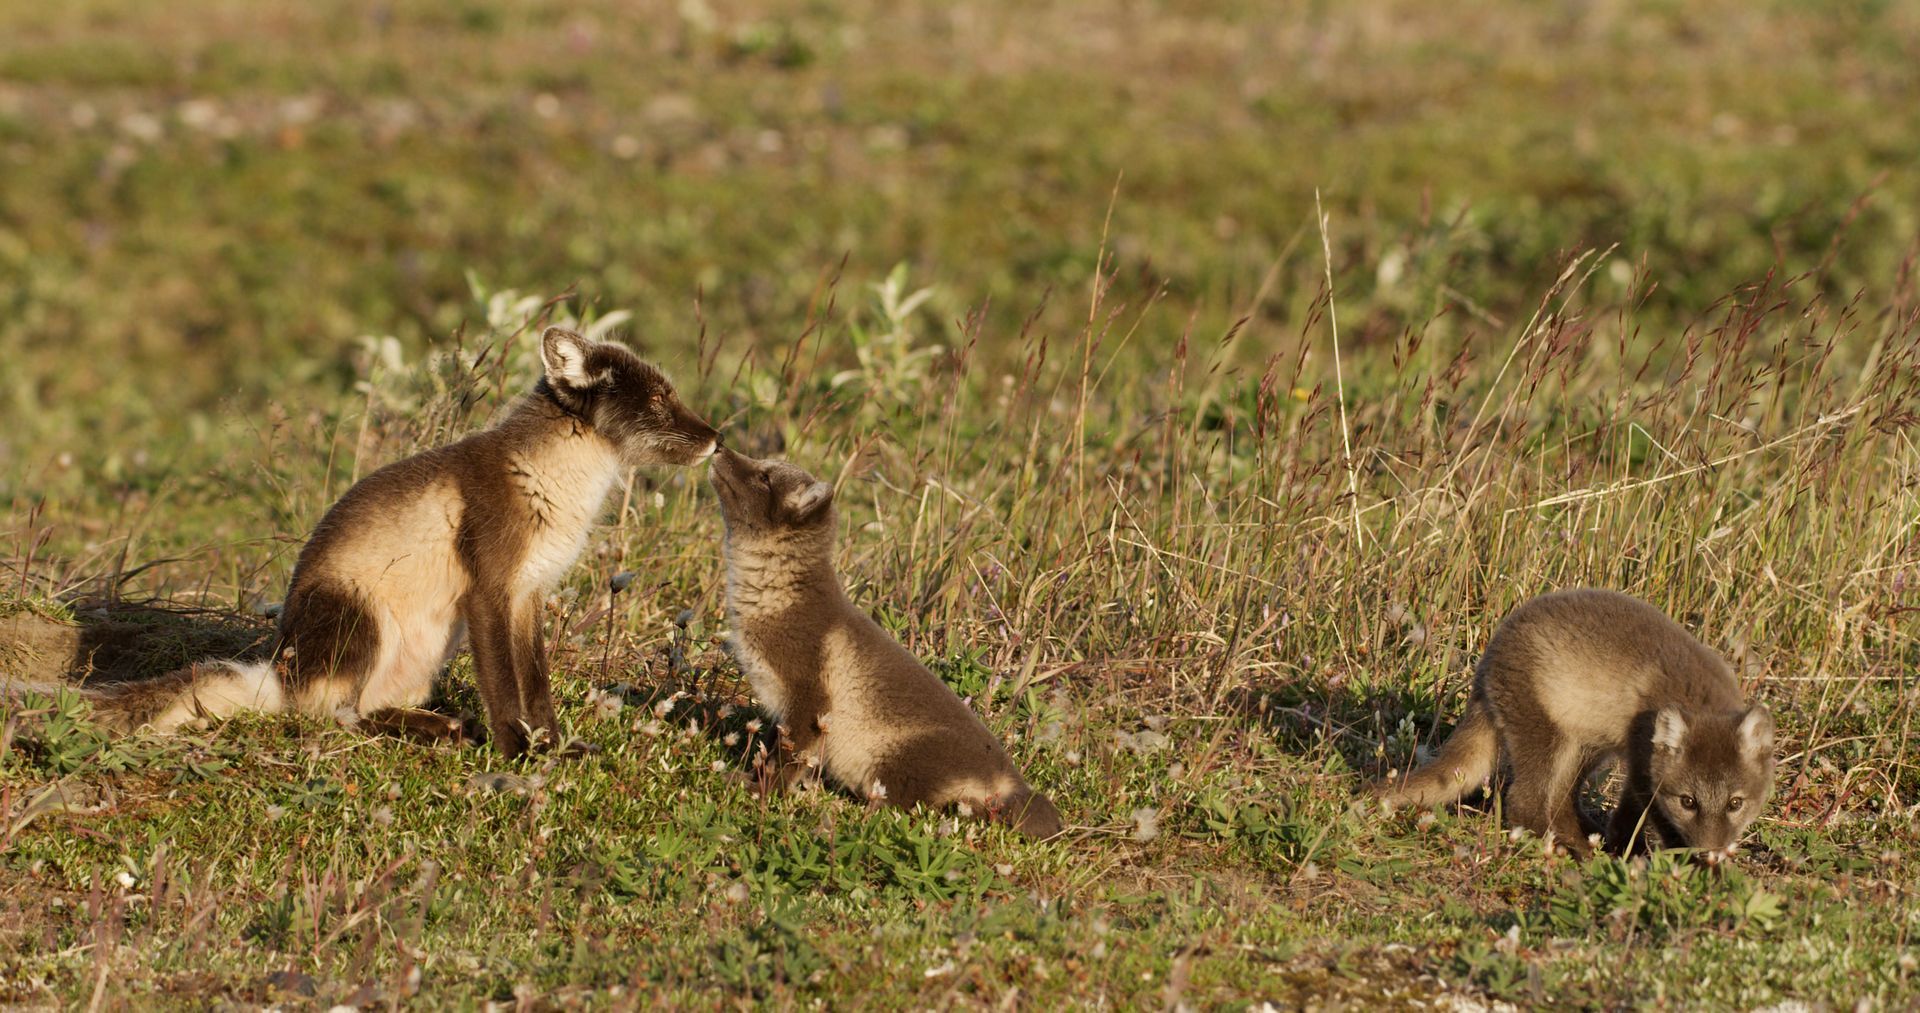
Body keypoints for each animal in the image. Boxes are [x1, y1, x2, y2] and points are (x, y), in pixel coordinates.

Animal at [8, 327, 718, 758]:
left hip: (429, 646)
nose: (715, 438)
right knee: (330, 714)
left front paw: (555, 746)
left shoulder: (528, 595)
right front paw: (518, 755)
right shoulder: (490, 590)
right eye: (659, 399)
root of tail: (281, 669)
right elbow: (504, 689)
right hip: (364, 622)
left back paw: (440, 725)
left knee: (365, 705)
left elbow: (537, 686)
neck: (553, 482)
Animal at [708, 447, 1063, 838]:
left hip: (900, 762)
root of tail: (1014, 785)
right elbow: (772, 748)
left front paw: (759, 790)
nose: (721, 447)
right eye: (763, 467)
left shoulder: (810, 698)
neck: (782, 596)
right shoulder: (782, 712)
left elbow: (787, 760)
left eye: (765, 478)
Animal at [1375, 588, 1775, 858]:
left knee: (1561, 802)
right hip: (1548, 739)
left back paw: (1582, 839)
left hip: (1583, 748)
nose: (1710, 852)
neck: (1695, 695)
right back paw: (1571, 850)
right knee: (1525, 804)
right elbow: (1640, 821)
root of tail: (1486, 663)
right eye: (1688, 801)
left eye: (1735, 803)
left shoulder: (1639, 766)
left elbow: (1627, 818)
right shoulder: (1642, 768)